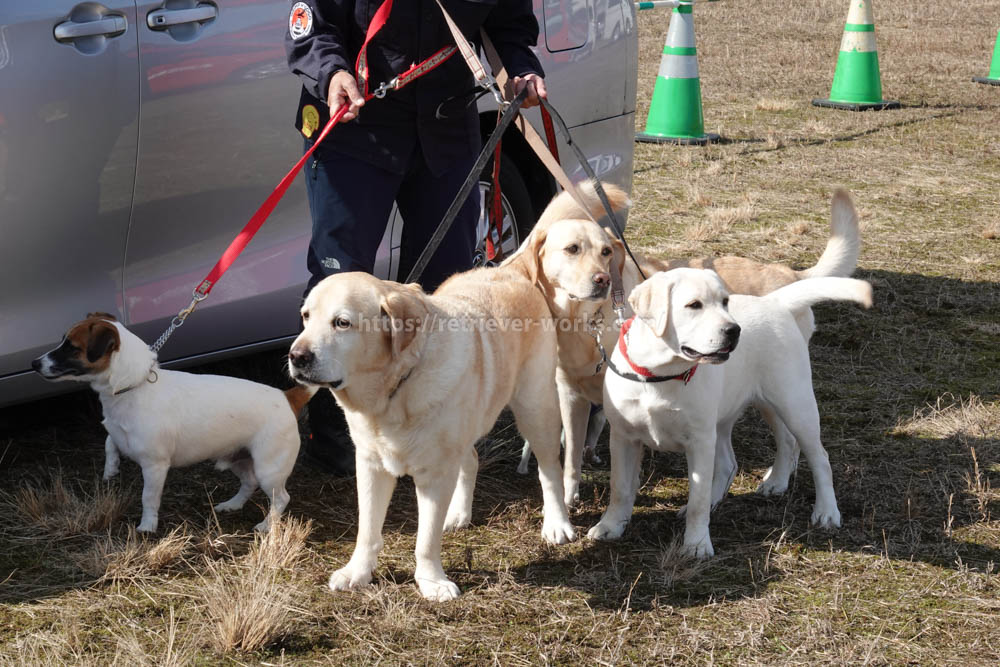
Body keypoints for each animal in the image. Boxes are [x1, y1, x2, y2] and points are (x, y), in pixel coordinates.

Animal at [288, 268, 572, 604]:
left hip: (535, 409)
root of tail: (509, 269)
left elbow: (425, 539)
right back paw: (459, 513)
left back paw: (557, 523)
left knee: (550, 470)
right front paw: (357, 572)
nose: (296, 356)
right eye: (306, 316)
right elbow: (367, 529)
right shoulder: (370, 464)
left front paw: (431, 582)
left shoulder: (435, 474)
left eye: (342, 322)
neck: (395, 391)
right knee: (471, 459)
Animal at [588, 268, 872, 556]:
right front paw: (610, 526)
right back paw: (775, 482)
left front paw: (697, 544)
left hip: (795, 403)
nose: (734, 331)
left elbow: (699, 498)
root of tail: (774, 301)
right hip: (746, 410)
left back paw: (826, 511)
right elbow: (620, 487)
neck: (660, 374)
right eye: (694, 305)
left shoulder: (699, 440)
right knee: (749, 455)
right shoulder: (623, 437)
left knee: (819, 457)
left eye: (725, 302)